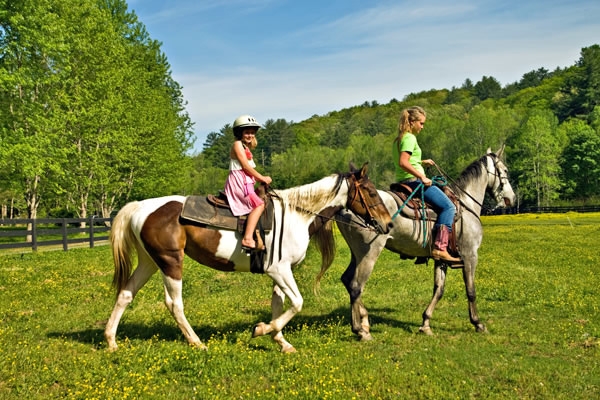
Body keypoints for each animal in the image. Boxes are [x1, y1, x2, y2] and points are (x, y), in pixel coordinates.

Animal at [104, 163, 393, 353]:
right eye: (370, 192)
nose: (388, 224)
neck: (297, 215)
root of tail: (141, 207)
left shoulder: (280, 272)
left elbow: (279, 304)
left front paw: (280, 341)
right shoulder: (279, 270)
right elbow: (297, 303)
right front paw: (262, 330)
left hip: (149, 262)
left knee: (126, 294)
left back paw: (111, 340)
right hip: (170, 262)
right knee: (174, 304)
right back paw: (196, 342)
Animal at [328, 148, 516, 340]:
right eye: (505, 170)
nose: (511, 199)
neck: (465, 206)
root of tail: (344, 207)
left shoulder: (441, 259)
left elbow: (439, 290)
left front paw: (425, 323)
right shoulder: (470, 255)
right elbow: (471, 291)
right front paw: (478, 323)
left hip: (356, 254)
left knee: (347, 280)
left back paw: (364, 322)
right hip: (369, 254)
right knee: (356, 286)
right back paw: (360, 329)